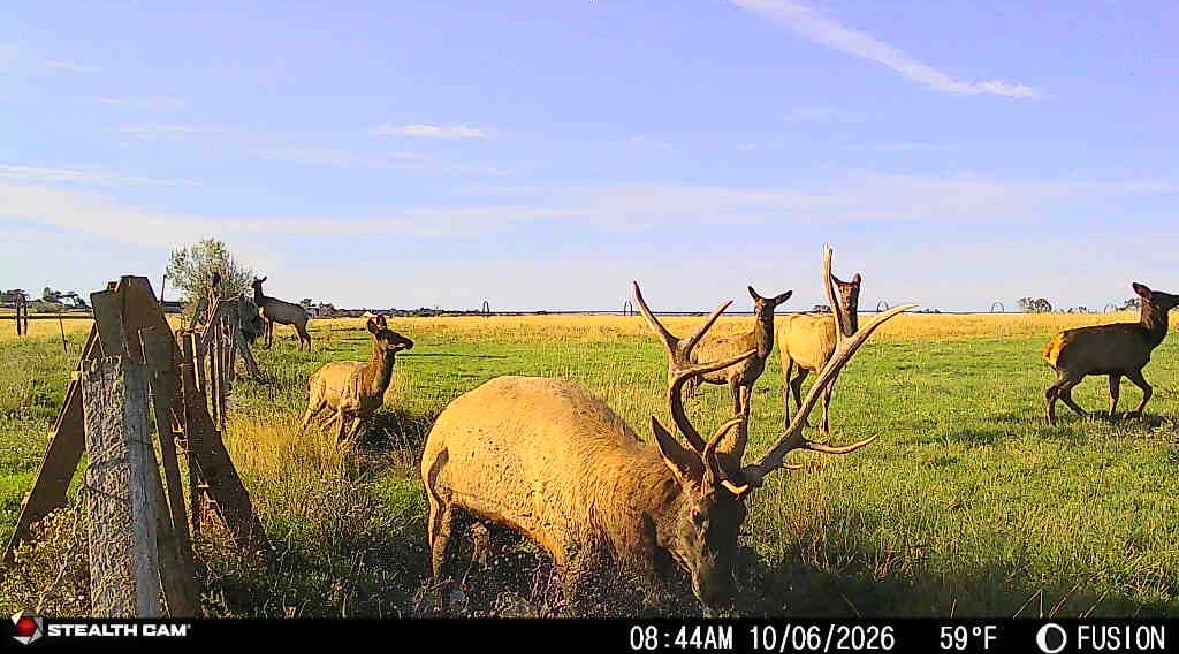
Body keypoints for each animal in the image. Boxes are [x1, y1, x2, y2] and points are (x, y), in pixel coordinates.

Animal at [633, 283, 792, 479]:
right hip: (690, 376)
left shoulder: (750, 380)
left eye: (771, 305)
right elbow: (736, 408)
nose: (759, 312)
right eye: (756, 302)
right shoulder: (733, 376)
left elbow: (746, 409)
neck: (756, 351)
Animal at [777, 251, 862, 437]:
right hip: (785, 353)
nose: (847, 302)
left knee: (795, 382)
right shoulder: (820, 362)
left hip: (803, 364)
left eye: (855, 289)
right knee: (786, 384)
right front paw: (824, 428)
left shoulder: (834, 367)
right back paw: (787, 423)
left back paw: (805, 422)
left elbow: (827, 396)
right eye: (840, 289)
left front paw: (824, 426)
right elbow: (822, 394)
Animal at [1043, 282, 1179, 425]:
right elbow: (1148, 390)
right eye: (1164, 295)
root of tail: (1049, 349)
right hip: (1071, 370)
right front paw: (1130, 414)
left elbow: (1114, 396)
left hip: (1067, 372)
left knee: (1062, 393)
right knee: (1054, 391)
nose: (1177, 296)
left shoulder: (1115, 371)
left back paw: (1085, 414)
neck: (1148, 339)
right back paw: (1053, 420)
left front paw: (1112, 417)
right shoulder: (1131, 367)